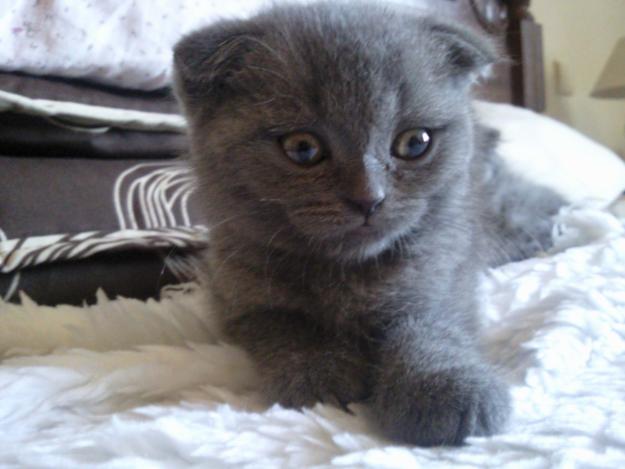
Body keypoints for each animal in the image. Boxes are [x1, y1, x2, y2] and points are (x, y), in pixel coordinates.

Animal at [173, 0, 564, 446]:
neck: (346, 274)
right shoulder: (235, 292)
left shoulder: (443, 272)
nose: (369, 198)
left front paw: (445, 386)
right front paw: (320, 370)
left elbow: (430, 324)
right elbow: (283, 324)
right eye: (302, 148)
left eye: (415, 142)